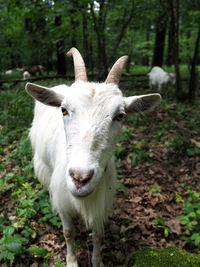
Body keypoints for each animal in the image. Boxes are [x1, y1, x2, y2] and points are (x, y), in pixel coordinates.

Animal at [25, 48, 162, 267]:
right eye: (64, 109)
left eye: (120, 115)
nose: (80, 178)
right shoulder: (62, 200)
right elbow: (68, 232)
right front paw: (72, 261)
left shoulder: (102, 202)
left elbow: (98, 235)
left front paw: (97, 261)